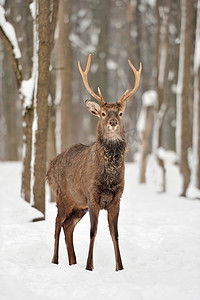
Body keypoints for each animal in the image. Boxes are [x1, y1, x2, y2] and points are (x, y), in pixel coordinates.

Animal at [46, 54, 141, 272]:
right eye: (103, 113)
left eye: (120, 113)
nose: (113, 123)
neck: (108, 177)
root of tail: (49, 168)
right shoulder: (92, 195)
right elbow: (93, 231)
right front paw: (90, 267)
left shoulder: (117, 197)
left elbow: (115, 233)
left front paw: (120, 268)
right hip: (63, 196)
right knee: (57, 224)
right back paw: (55, 261)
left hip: (77, 205)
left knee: (67, 226)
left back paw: (73, 262)